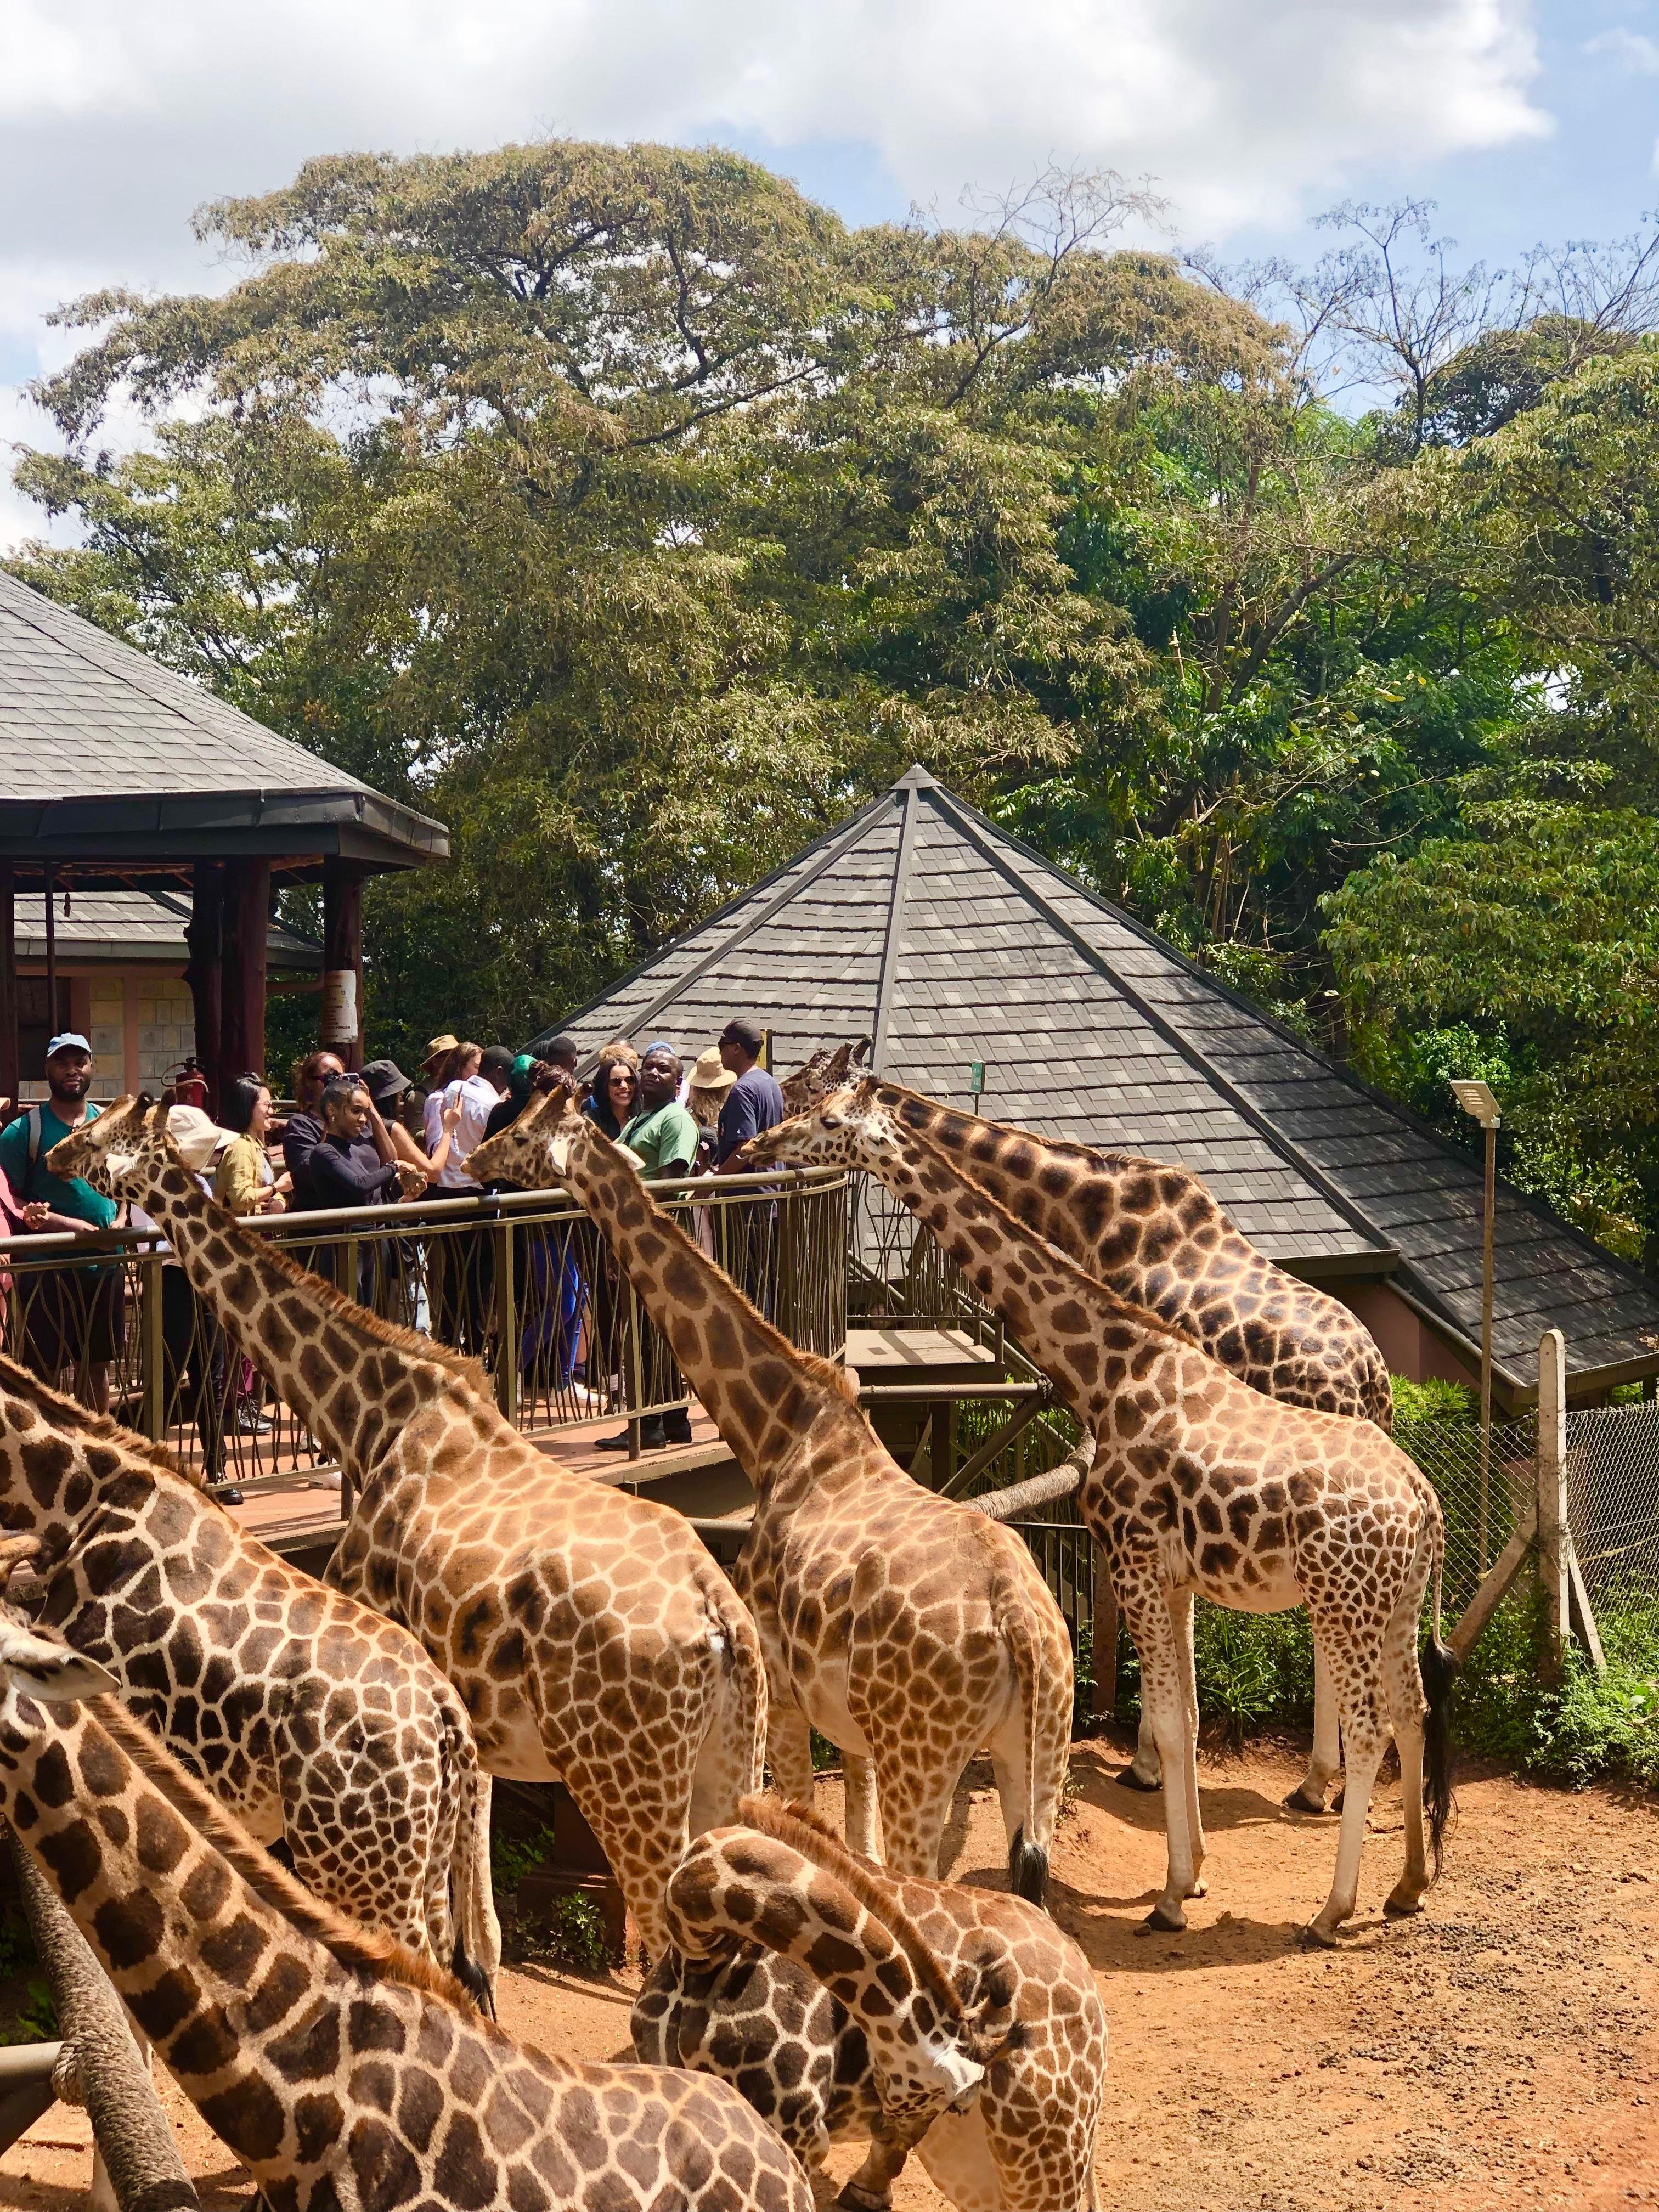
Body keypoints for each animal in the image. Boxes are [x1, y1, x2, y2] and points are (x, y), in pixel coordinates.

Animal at [47, 1096, 766, 1958]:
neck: (370, 1415)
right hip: (728, 1767)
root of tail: (725, 1622)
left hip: (628, 1778)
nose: (53, 1155)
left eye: (102, 1134)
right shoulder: (466, 1714)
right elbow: (478, 1911)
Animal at [469, 1095, 1074, 1905]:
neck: (777, 1431)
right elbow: (856, 1843)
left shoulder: (785, 1695)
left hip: (926, 1752)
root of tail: (1024, 1628)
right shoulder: (850, 1728)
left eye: (526, 1129)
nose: (475, 1160)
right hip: (1037, 1756)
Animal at [743, 1087, 1455, 1944]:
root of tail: (1426, 1504)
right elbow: (1185, 1712)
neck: (1109, 1375)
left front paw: (1172, 1895)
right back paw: (1409, 1885)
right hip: (1396, 1602)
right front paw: (1195, 1873)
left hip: (1343, 1602)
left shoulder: (1132, 1555)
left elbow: (1172, 1721)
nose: (762, 1147)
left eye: (828, 1119)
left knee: (1369, 1722)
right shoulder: (1173, 1577)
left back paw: (1330, 1905)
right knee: (1413, 1708)